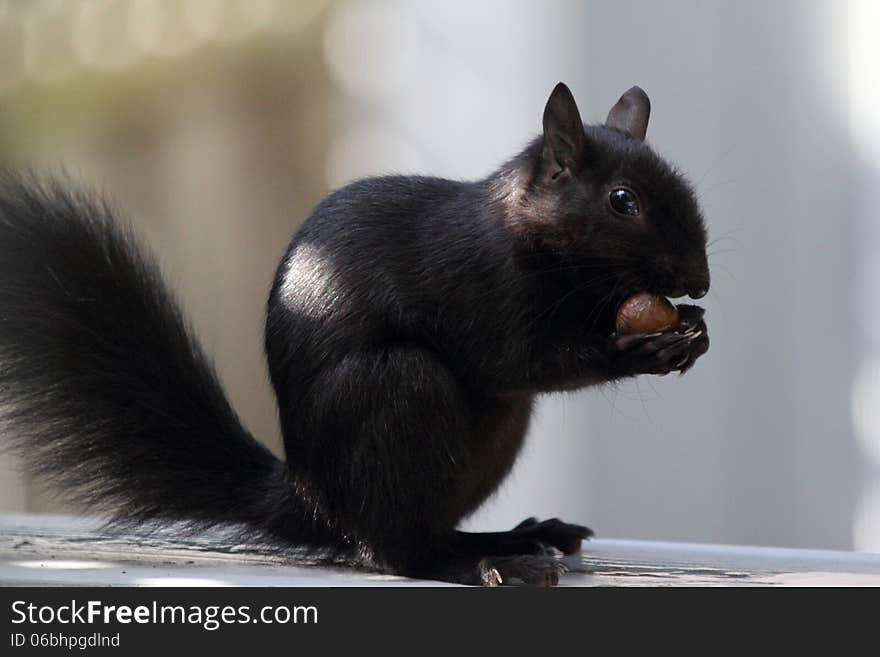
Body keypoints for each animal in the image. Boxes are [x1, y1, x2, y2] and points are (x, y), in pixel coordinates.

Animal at [0, 82, 708, 584]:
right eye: (622, 201)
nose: (699, 282)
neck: (528, 240)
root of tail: (314, 501)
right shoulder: (478, 287)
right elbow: (520, 361)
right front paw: (640, 345)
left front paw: (693, 332)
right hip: (399, 391)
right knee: (397, 550)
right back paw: (484, 562)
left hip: (496, 433)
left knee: (421, 529)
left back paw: (508, 537)